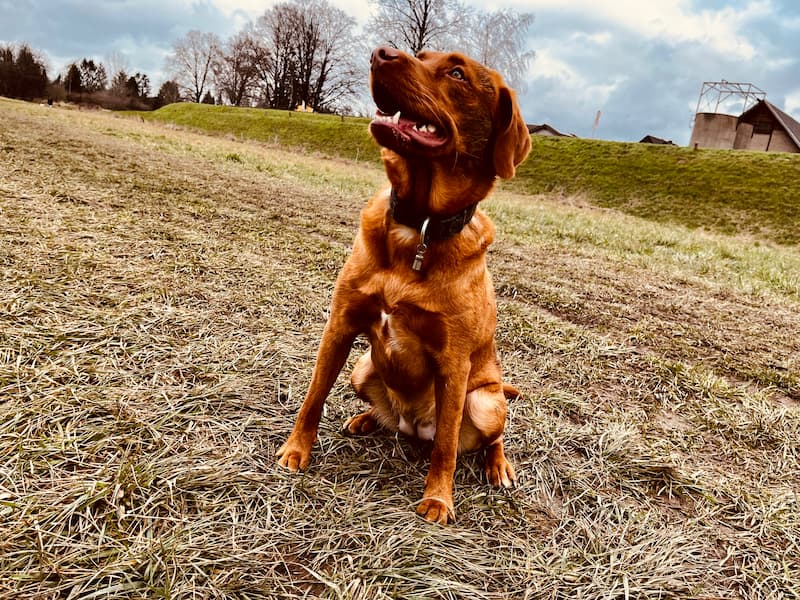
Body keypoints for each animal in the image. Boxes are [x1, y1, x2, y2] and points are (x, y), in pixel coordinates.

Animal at [276, 47, 532, 524]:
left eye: (457, 72)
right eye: (422, 54)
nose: (382, 53)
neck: (419, 226)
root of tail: (413, 427)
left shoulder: (454, 364)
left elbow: (446, 446)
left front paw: (438, 499)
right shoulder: (340, 326)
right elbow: (314, 396)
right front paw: (295, 451)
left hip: (485, 401)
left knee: (484, 438)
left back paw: (499, 466)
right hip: (362, 368)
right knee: (384, 414)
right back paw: (365, 420)